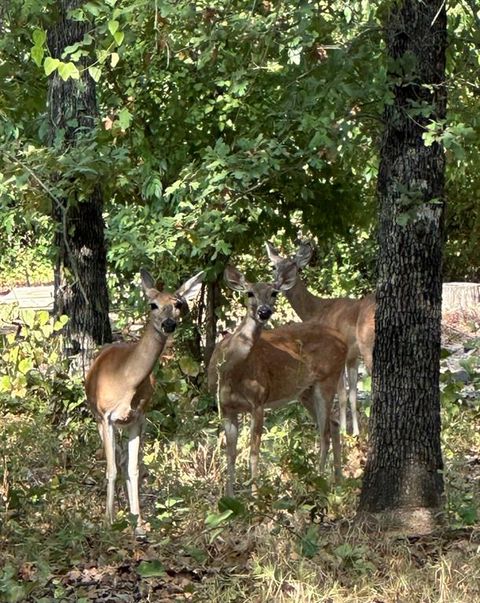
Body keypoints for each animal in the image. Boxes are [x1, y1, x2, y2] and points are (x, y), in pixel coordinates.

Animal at [85, 268, 203, 532]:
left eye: (178, 304)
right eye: (153, 305)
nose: (168, 324)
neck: (126, 382)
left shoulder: (139, 418)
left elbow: (134, 469)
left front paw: (137, 523)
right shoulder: (106, 416)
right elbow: (111, 469)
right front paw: (108, 521)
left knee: (123, 459)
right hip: (97, 417)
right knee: (114, 460)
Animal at [208, 266, 346, 498]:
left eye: (274, 293)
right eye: (249, 293)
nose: (264, 312)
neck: (230, 371)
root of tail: (343, 342)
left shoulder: (259, 401)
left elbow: (254, 451)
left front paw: (254, 495)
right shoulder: (226, 407)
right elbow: (230, 453)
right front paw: (229, 496)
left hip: (328, 379)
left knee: (324, 432)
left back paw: (319, 481)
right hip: (305, 392)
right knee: (334, 424)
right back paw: (338, 479)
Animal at [266, 239, 376, 434]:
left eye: (293, 266)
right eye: (275, 267)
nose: (279, 284)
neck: (317, 310)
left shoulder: (335, 352)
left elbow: (341, 394)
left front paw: (342, 431)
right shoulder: (352, 356)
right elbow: (352, 393)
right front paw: (355, 432)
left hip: (367, 343)